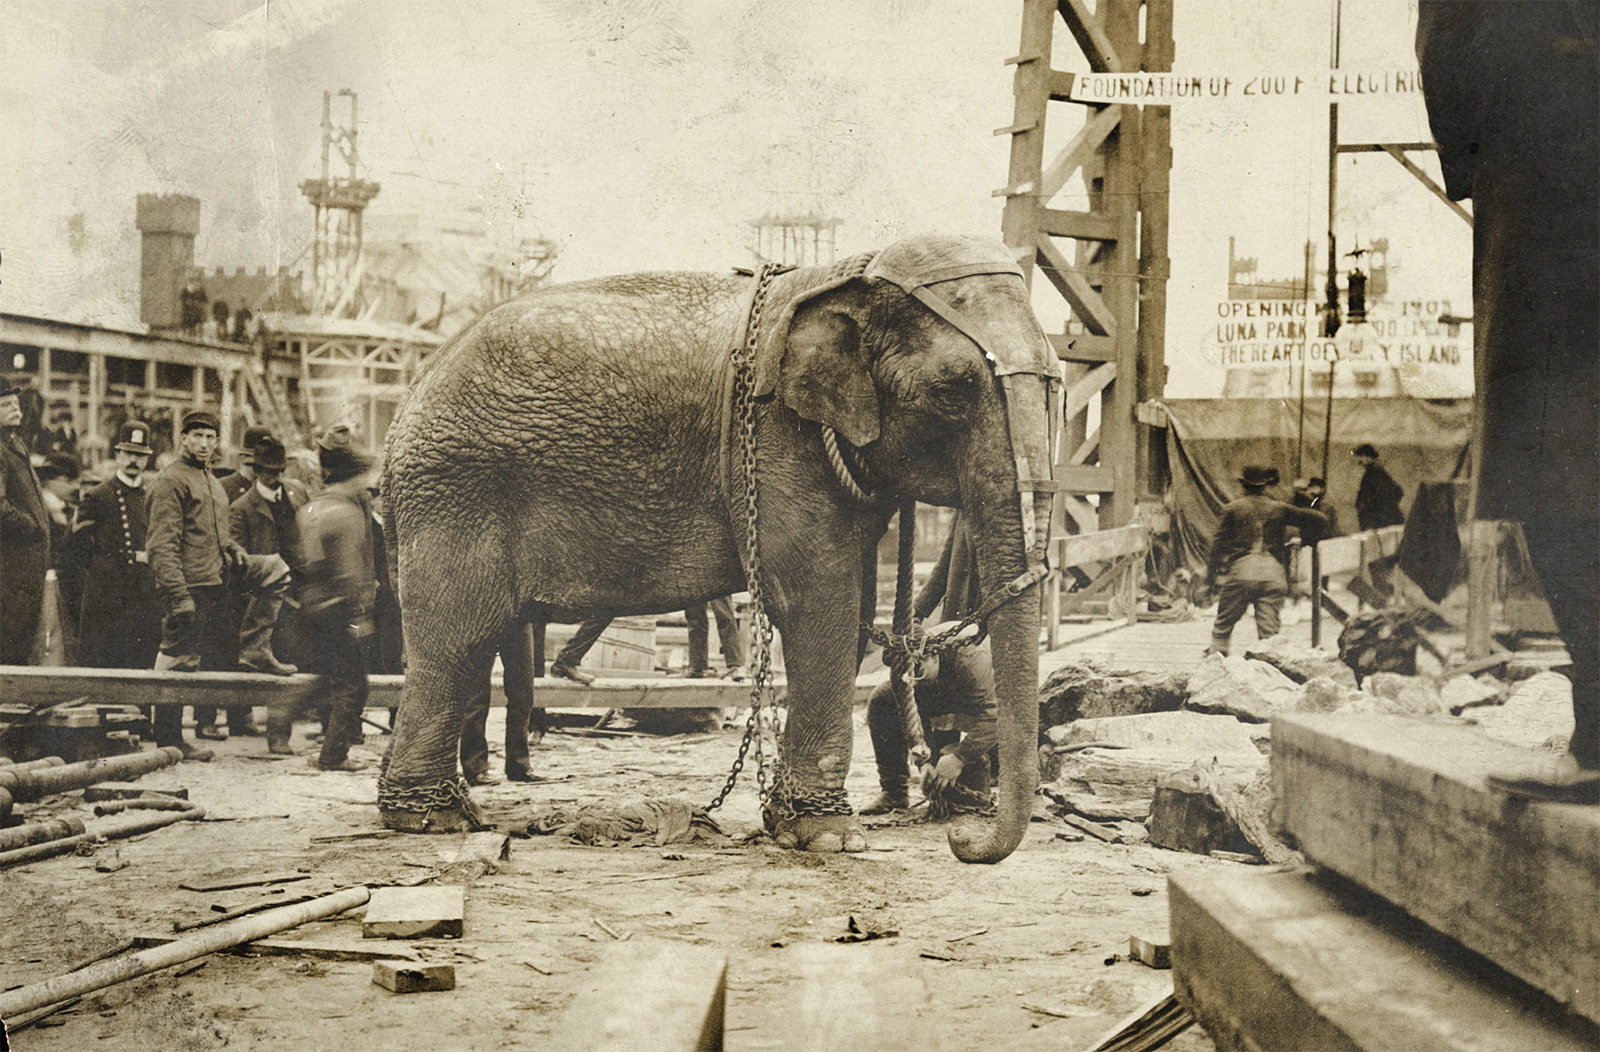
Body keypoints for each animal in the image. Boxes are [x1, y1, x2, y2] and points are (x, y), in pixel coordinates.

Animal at [378, 233, 1060, 863]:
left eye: (1056, 382)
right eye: (951, 391)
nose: (959, 838)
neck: (848, 270)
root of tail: (408, 397)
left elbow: (853, 607)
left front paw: (788, 823)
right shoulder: (775, 441)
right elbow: (818, 606)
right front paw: (830, 838)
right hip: (456, 489)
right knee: (460, 636)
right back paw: (431, 820)